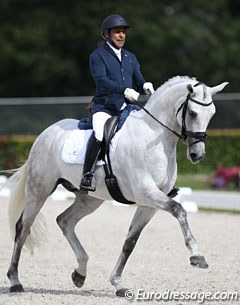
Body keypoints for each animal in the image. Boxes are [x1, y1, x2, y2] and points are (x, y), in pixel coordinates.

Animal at [5, 75, 227, 294]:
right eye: (192, 113)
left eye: (212, 114)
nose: (197, 155)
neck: (153, 136)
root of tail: (45, 134)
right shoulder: (146, 193)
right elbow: (179, 209)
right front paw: (197, 256)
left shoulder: (148, 204)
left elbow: (130, 242)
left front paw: (118, 283)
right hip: (40, 188)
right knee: (23, 228)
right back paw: (15, 281)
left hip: (90, 199)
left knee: (64, 221)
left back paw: (80, 273)